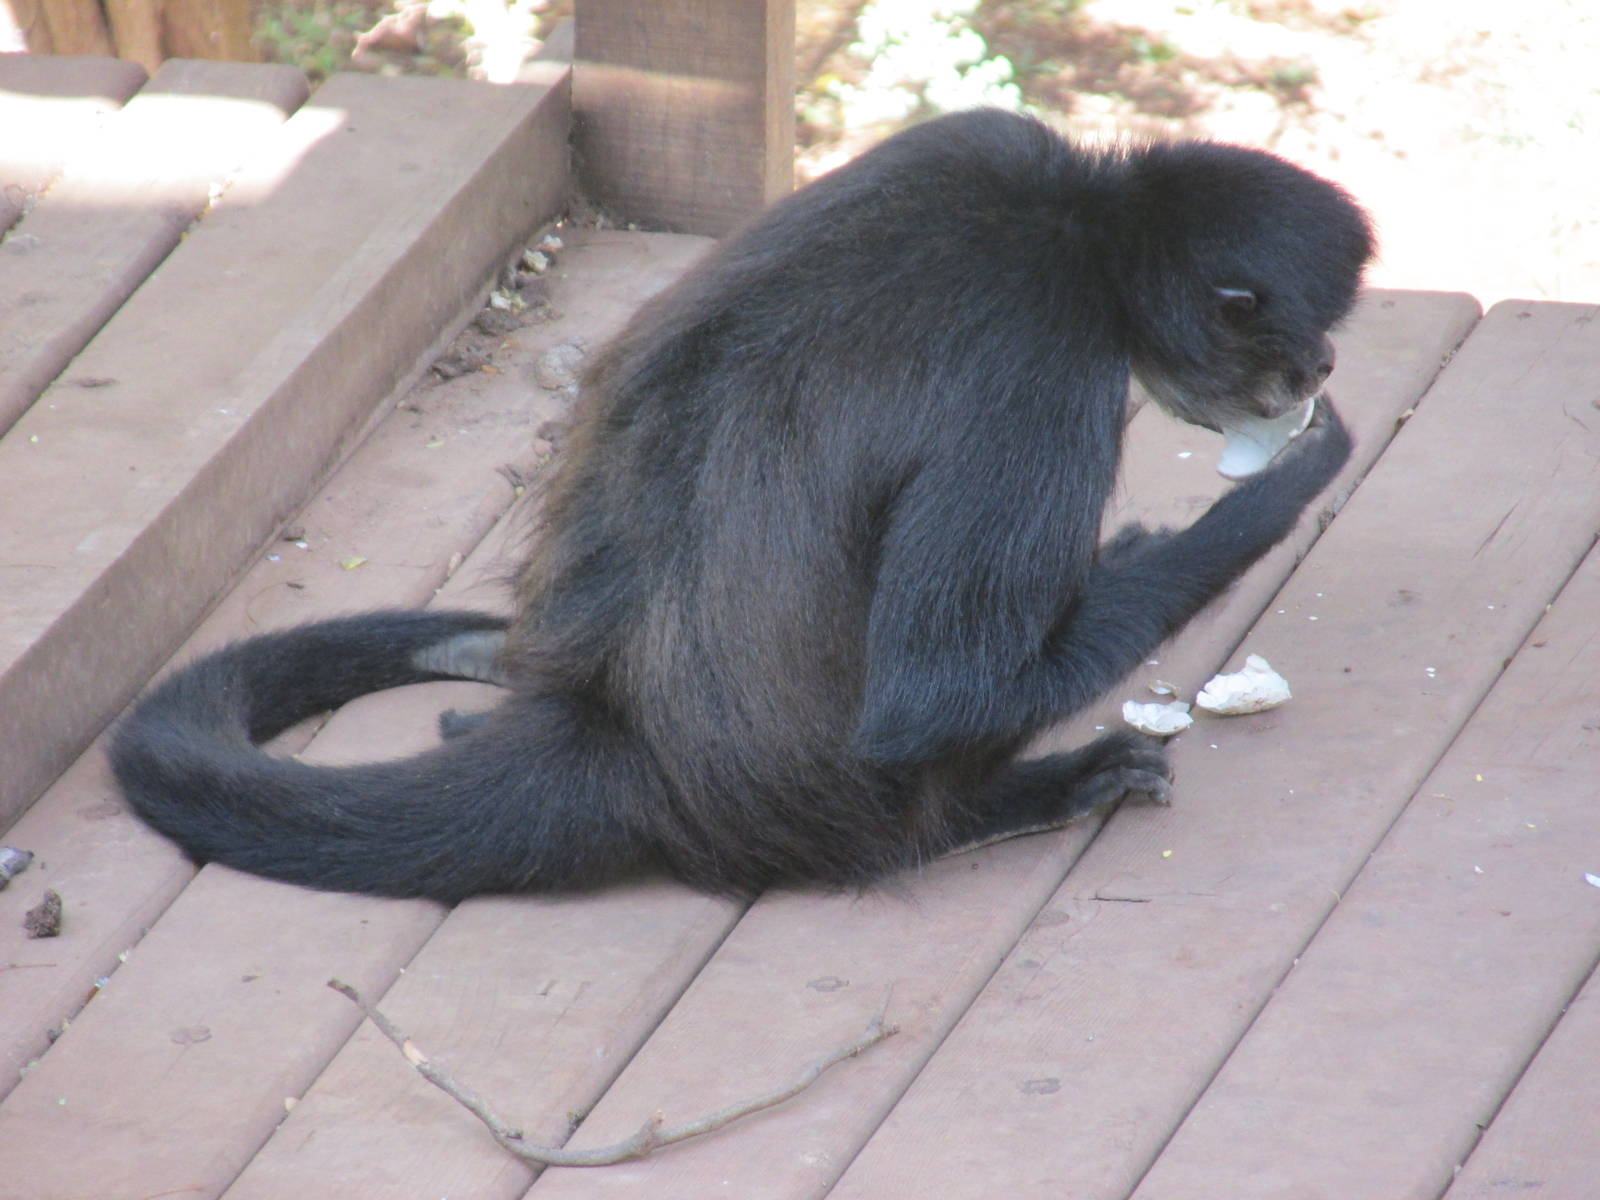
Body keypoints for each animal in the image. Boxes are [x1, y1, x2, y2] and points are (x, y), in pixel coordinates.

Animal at [110, 109, 1373, 903]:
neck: (1072, 224)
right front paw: (1278, 491)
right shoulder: (1043, 362)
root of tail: (620, 743)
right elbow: (931, 696)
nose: (1316, 371)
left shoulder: (958, 137)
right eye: (1300, 336)